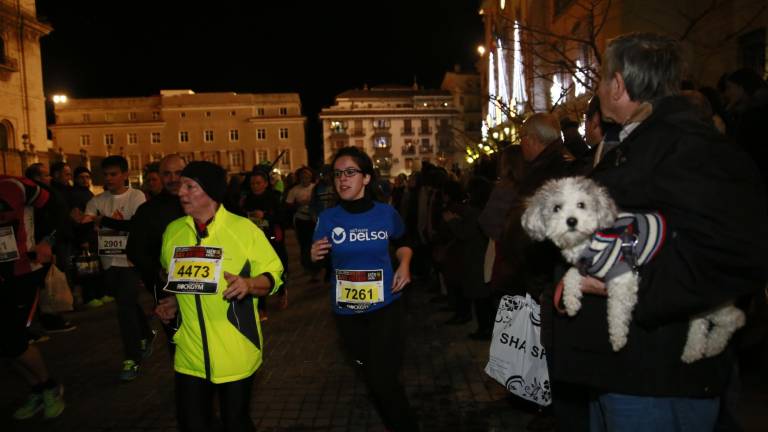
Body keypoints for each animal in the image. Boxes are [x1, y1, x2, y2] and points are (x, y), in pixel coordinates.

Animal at [520, 177, 744, 362]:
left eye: (581, 204)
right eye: (556, 208)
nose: (572, 221)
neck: (589, 244)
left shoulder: (623, 278)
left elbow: (616, 310)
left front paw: (618, 337)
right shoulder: (584, 267)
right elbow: (570, 275)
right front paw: (571, 301)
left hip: (706, 301)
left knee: (734, 318)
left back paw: (716, 344)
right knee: (700, 322)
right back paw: (694, 351)